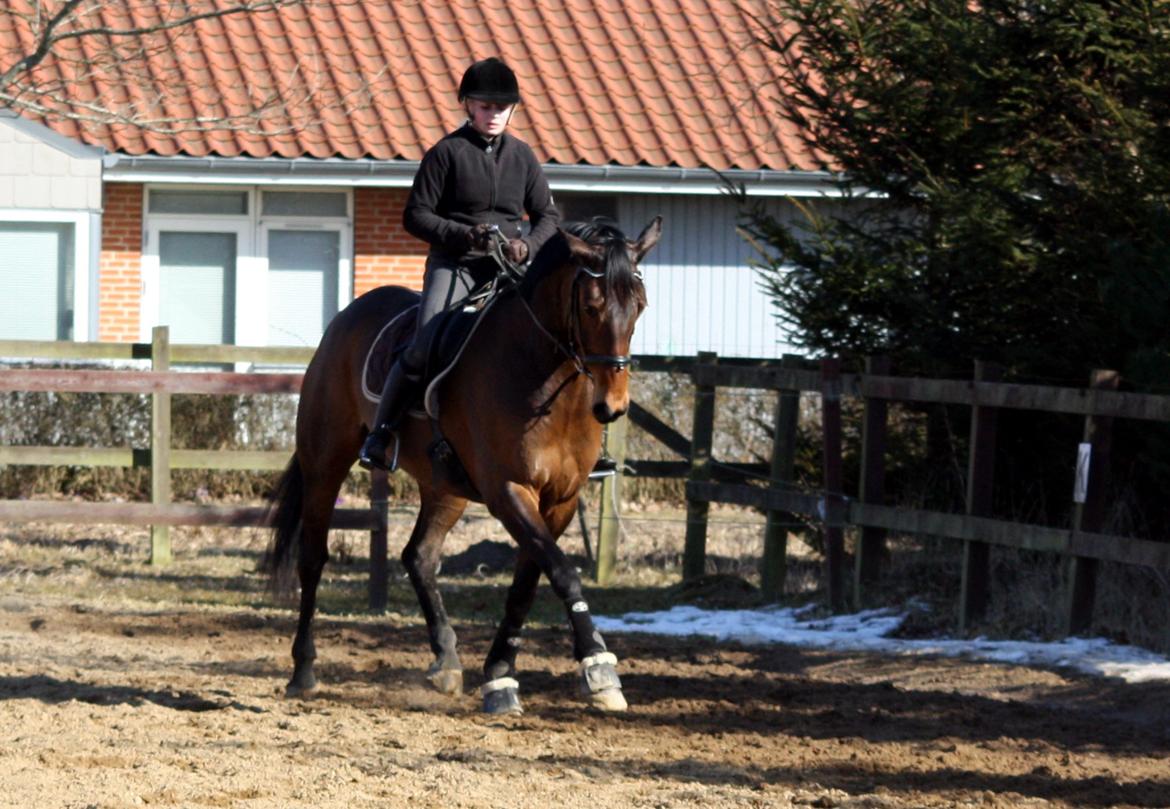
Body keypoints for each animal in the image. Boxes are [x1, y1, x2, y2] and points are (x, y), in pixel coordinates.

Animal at [267, 216, 664, 716]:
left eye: (640, 306)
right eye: (592, 307)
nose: (612, 407)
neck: (543, 377)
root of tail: (345, 318)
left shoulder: (561, 500)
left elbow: (528, 584)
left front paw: (500, 677)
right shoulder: (509, 490)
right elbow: (563, 573)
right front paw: (599, 667)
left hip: (444, 487)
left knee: (419, 556)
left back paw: (446, 660)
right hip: (325, 464)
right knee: (313, 558)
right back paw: (303, 671)